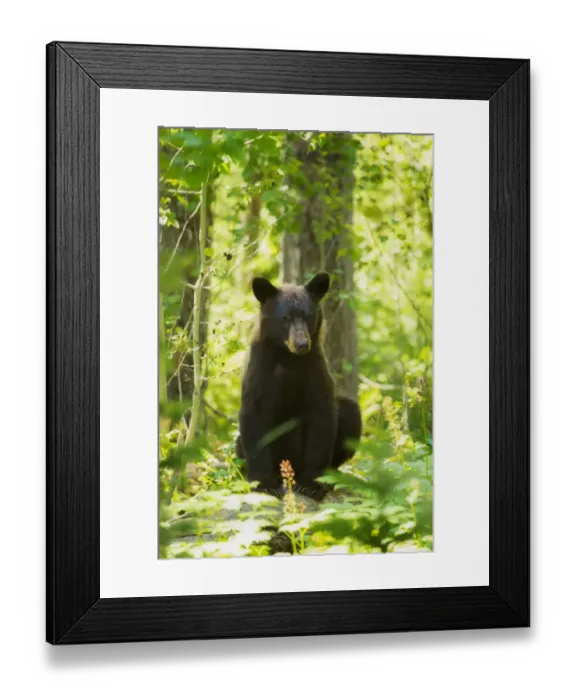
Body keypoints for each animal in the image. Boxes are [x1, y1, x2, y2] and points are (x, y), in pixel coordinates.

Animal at [235, 272, 362, 500]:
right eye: (285, 318)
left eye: (308, 315)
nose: (302, 344)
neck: (289, 358)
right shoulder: (260, 370)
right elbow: (255, 418)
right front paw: (265, 483)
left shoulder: (314, 369)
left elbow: (321, 417)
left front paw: (312, 484)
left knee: (349, 412)